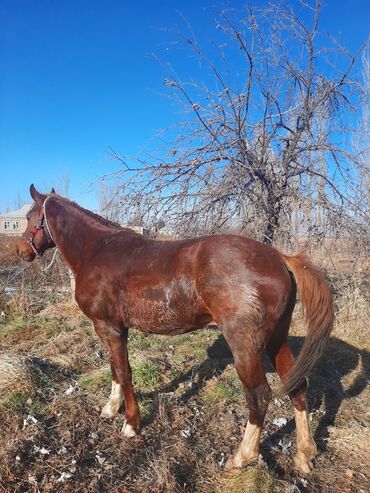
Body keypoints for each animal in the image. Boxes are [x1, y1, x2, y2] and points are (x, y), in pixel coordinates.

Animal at [15, 184, 334, 472]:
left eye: (30, 216)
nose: (20, 250)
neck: (97, 251)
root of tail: (280, 258)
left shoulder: (110, 328)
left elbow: (125, 372)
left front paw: (131, 423)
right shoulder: (110, 328)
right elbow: (115, 369)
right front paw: (110, 408)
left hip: (245, 346)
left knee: (259, 396)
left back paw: (242, 456)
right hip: (276, 340)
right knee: (298, 387)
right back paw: (304, 455)